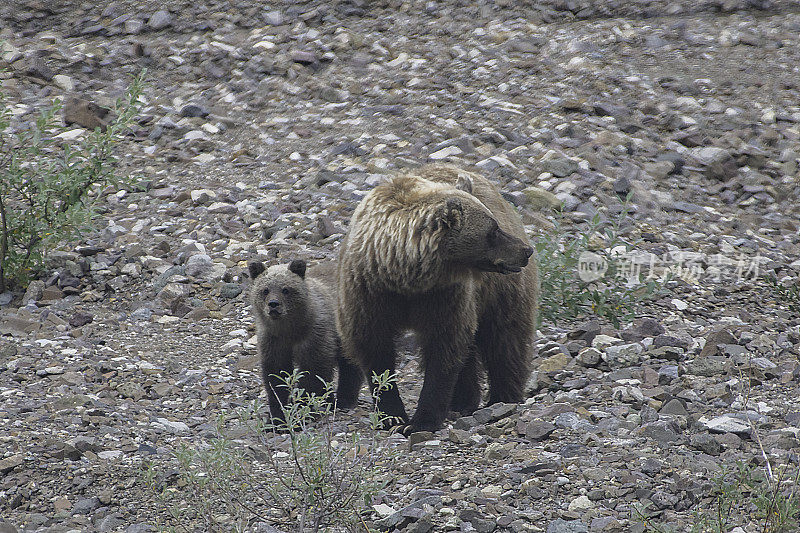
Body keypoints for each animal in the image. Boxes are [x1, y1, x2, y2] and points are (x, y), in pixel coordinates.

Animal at [336, 164, 536, 434]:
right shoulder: (368, 292)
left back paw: (502, 397)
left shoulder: (444, 295)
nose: (525, 250)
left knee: (504, 338)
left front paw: (423, 420)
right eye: (492, 231)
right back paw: (464, 401)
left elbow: (445, 347)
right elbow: (374, 349)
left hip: (500, 292)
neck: (404, 277)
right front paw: (393, 416)